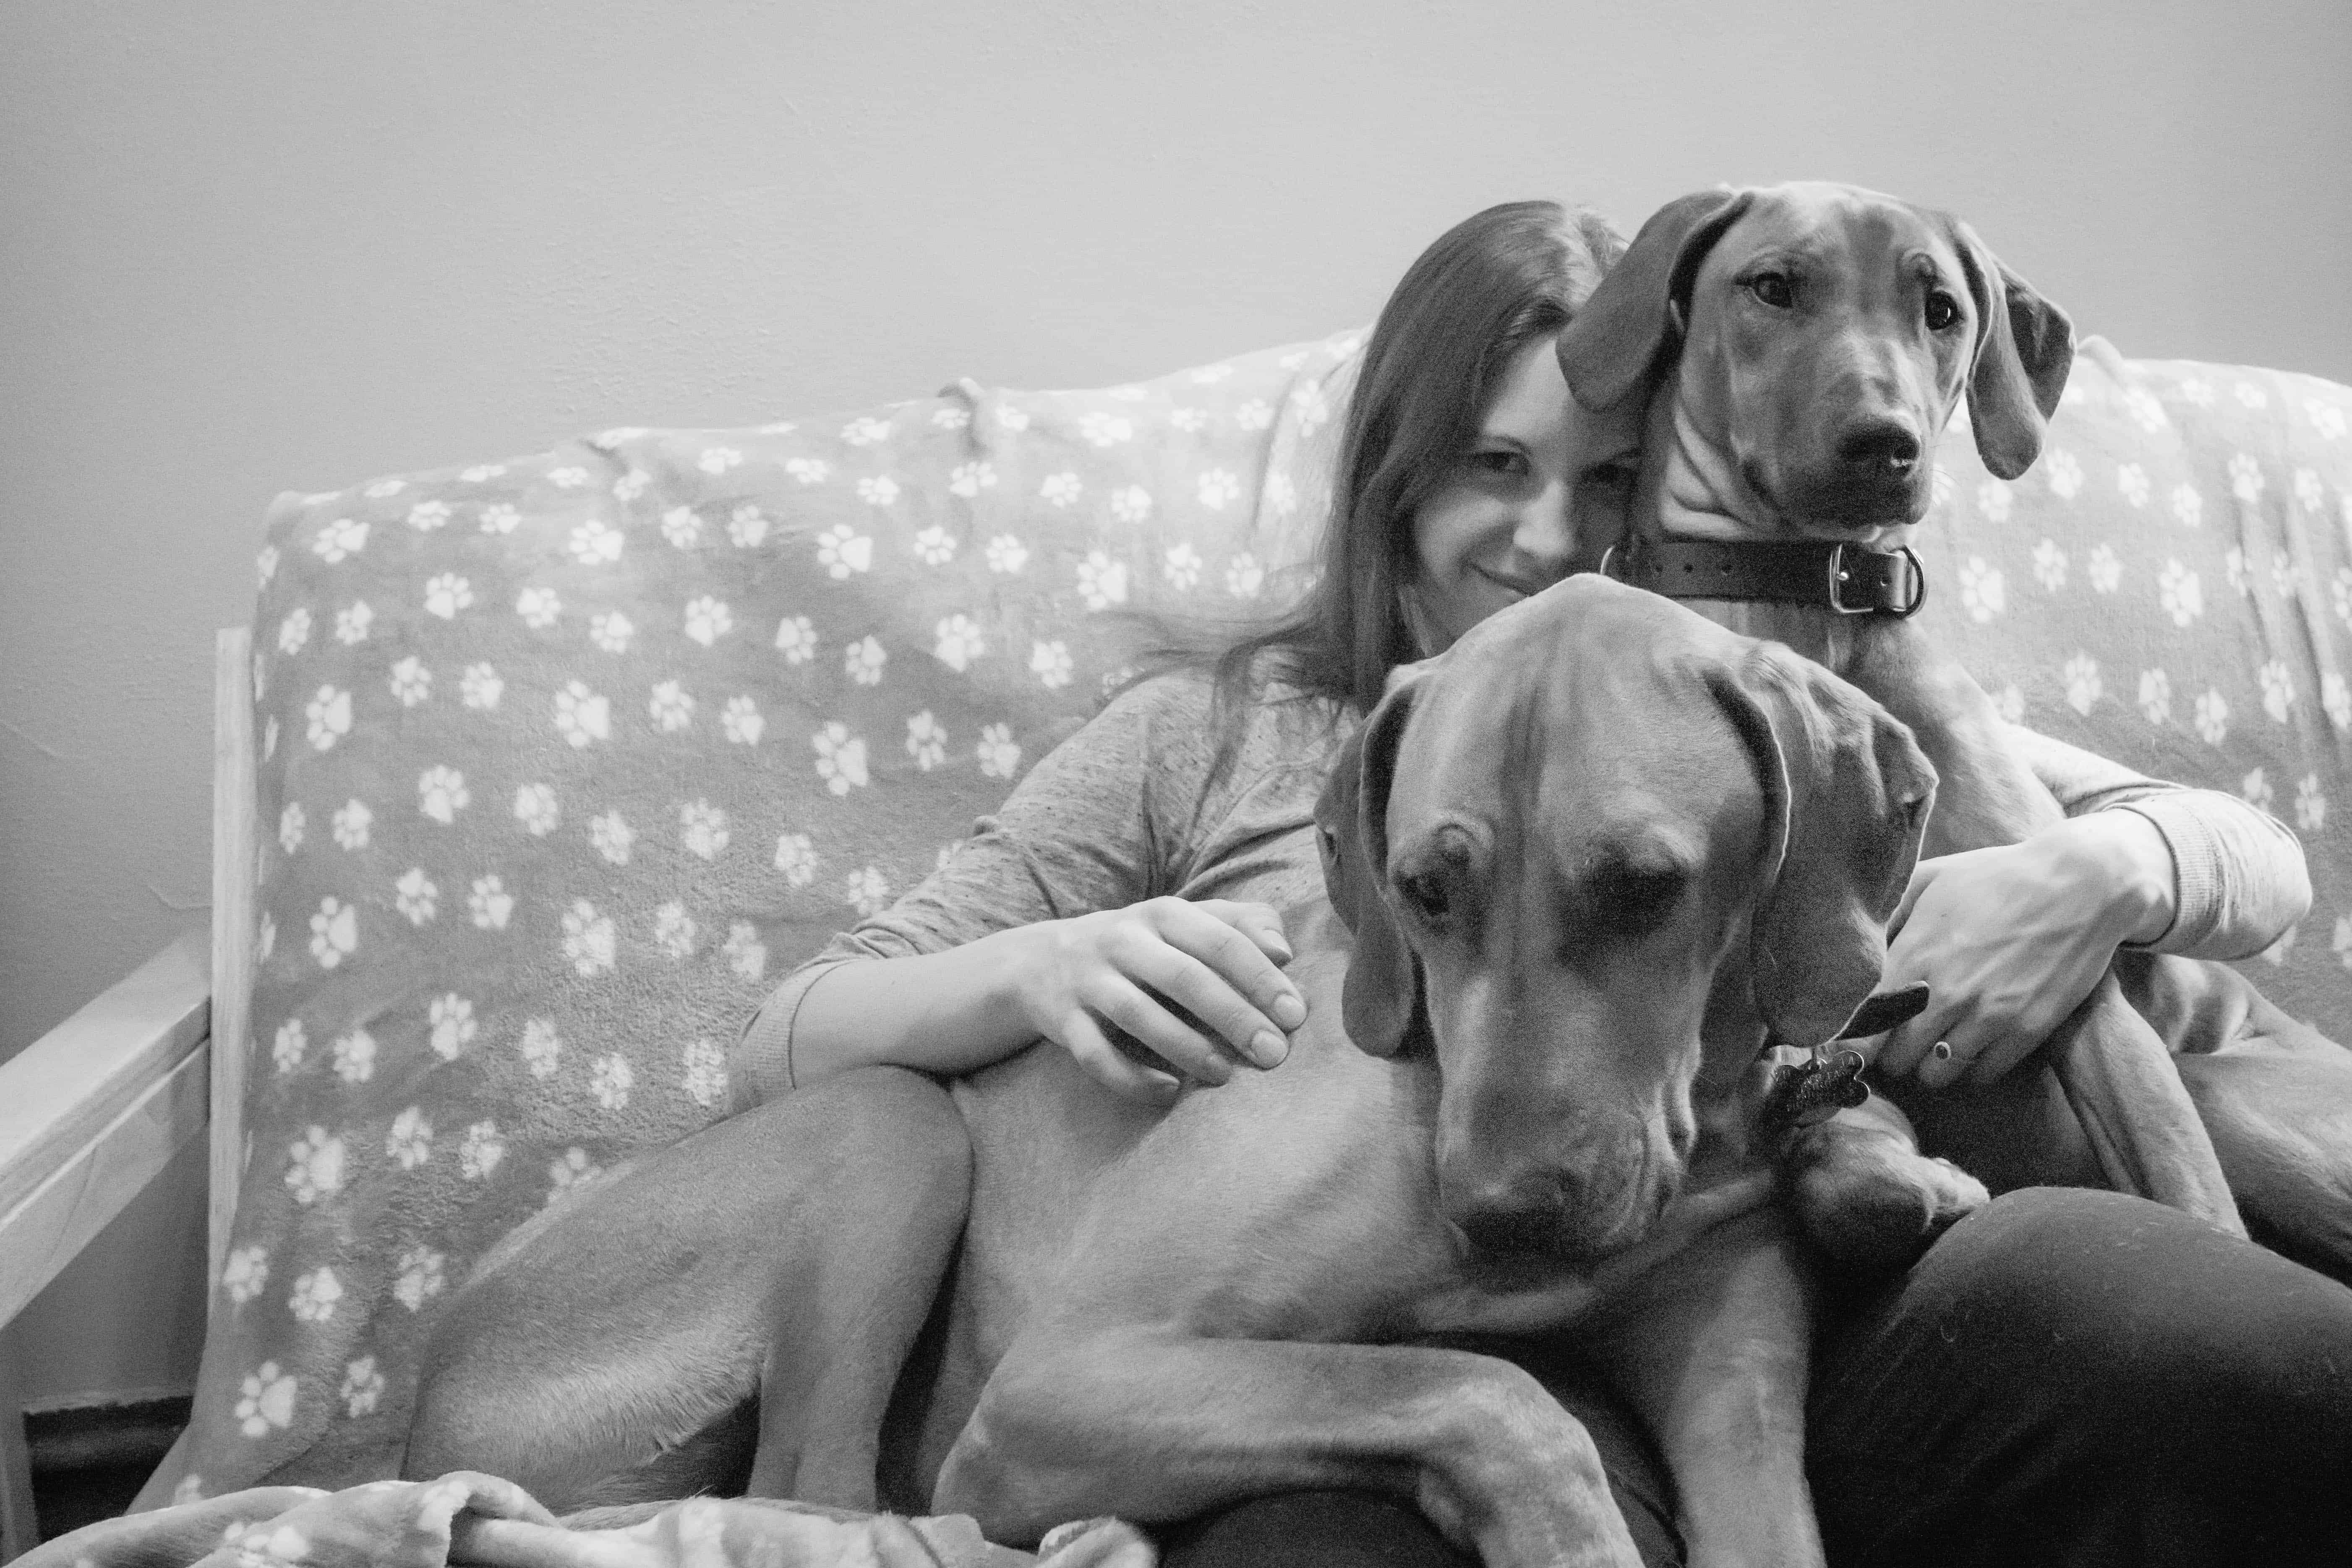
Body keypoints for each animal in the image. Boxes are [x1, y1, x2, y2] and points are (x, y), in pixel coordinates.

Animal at [409, 583, 1985, 1568]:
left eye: (1646, 887)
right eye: (1424, 888)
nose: (1501, 1212)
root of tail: (415, 1414)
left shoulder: (1729, 1371)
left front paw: (1881, 1168)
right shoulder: (1063, 1379)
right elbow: (1482, 1390)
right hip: (888, 1125)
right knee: (812, 1495)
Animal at [1561, 181, 2352, 1278]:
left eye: (1940, 311)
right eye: (1772, 286)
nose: (1882, 439)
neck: (1807, 595)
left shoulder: (2084, 994)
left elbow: (2191, 1197)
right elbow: (1833, 1141)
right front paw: (1900, 1186)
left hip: (2231, 1090)